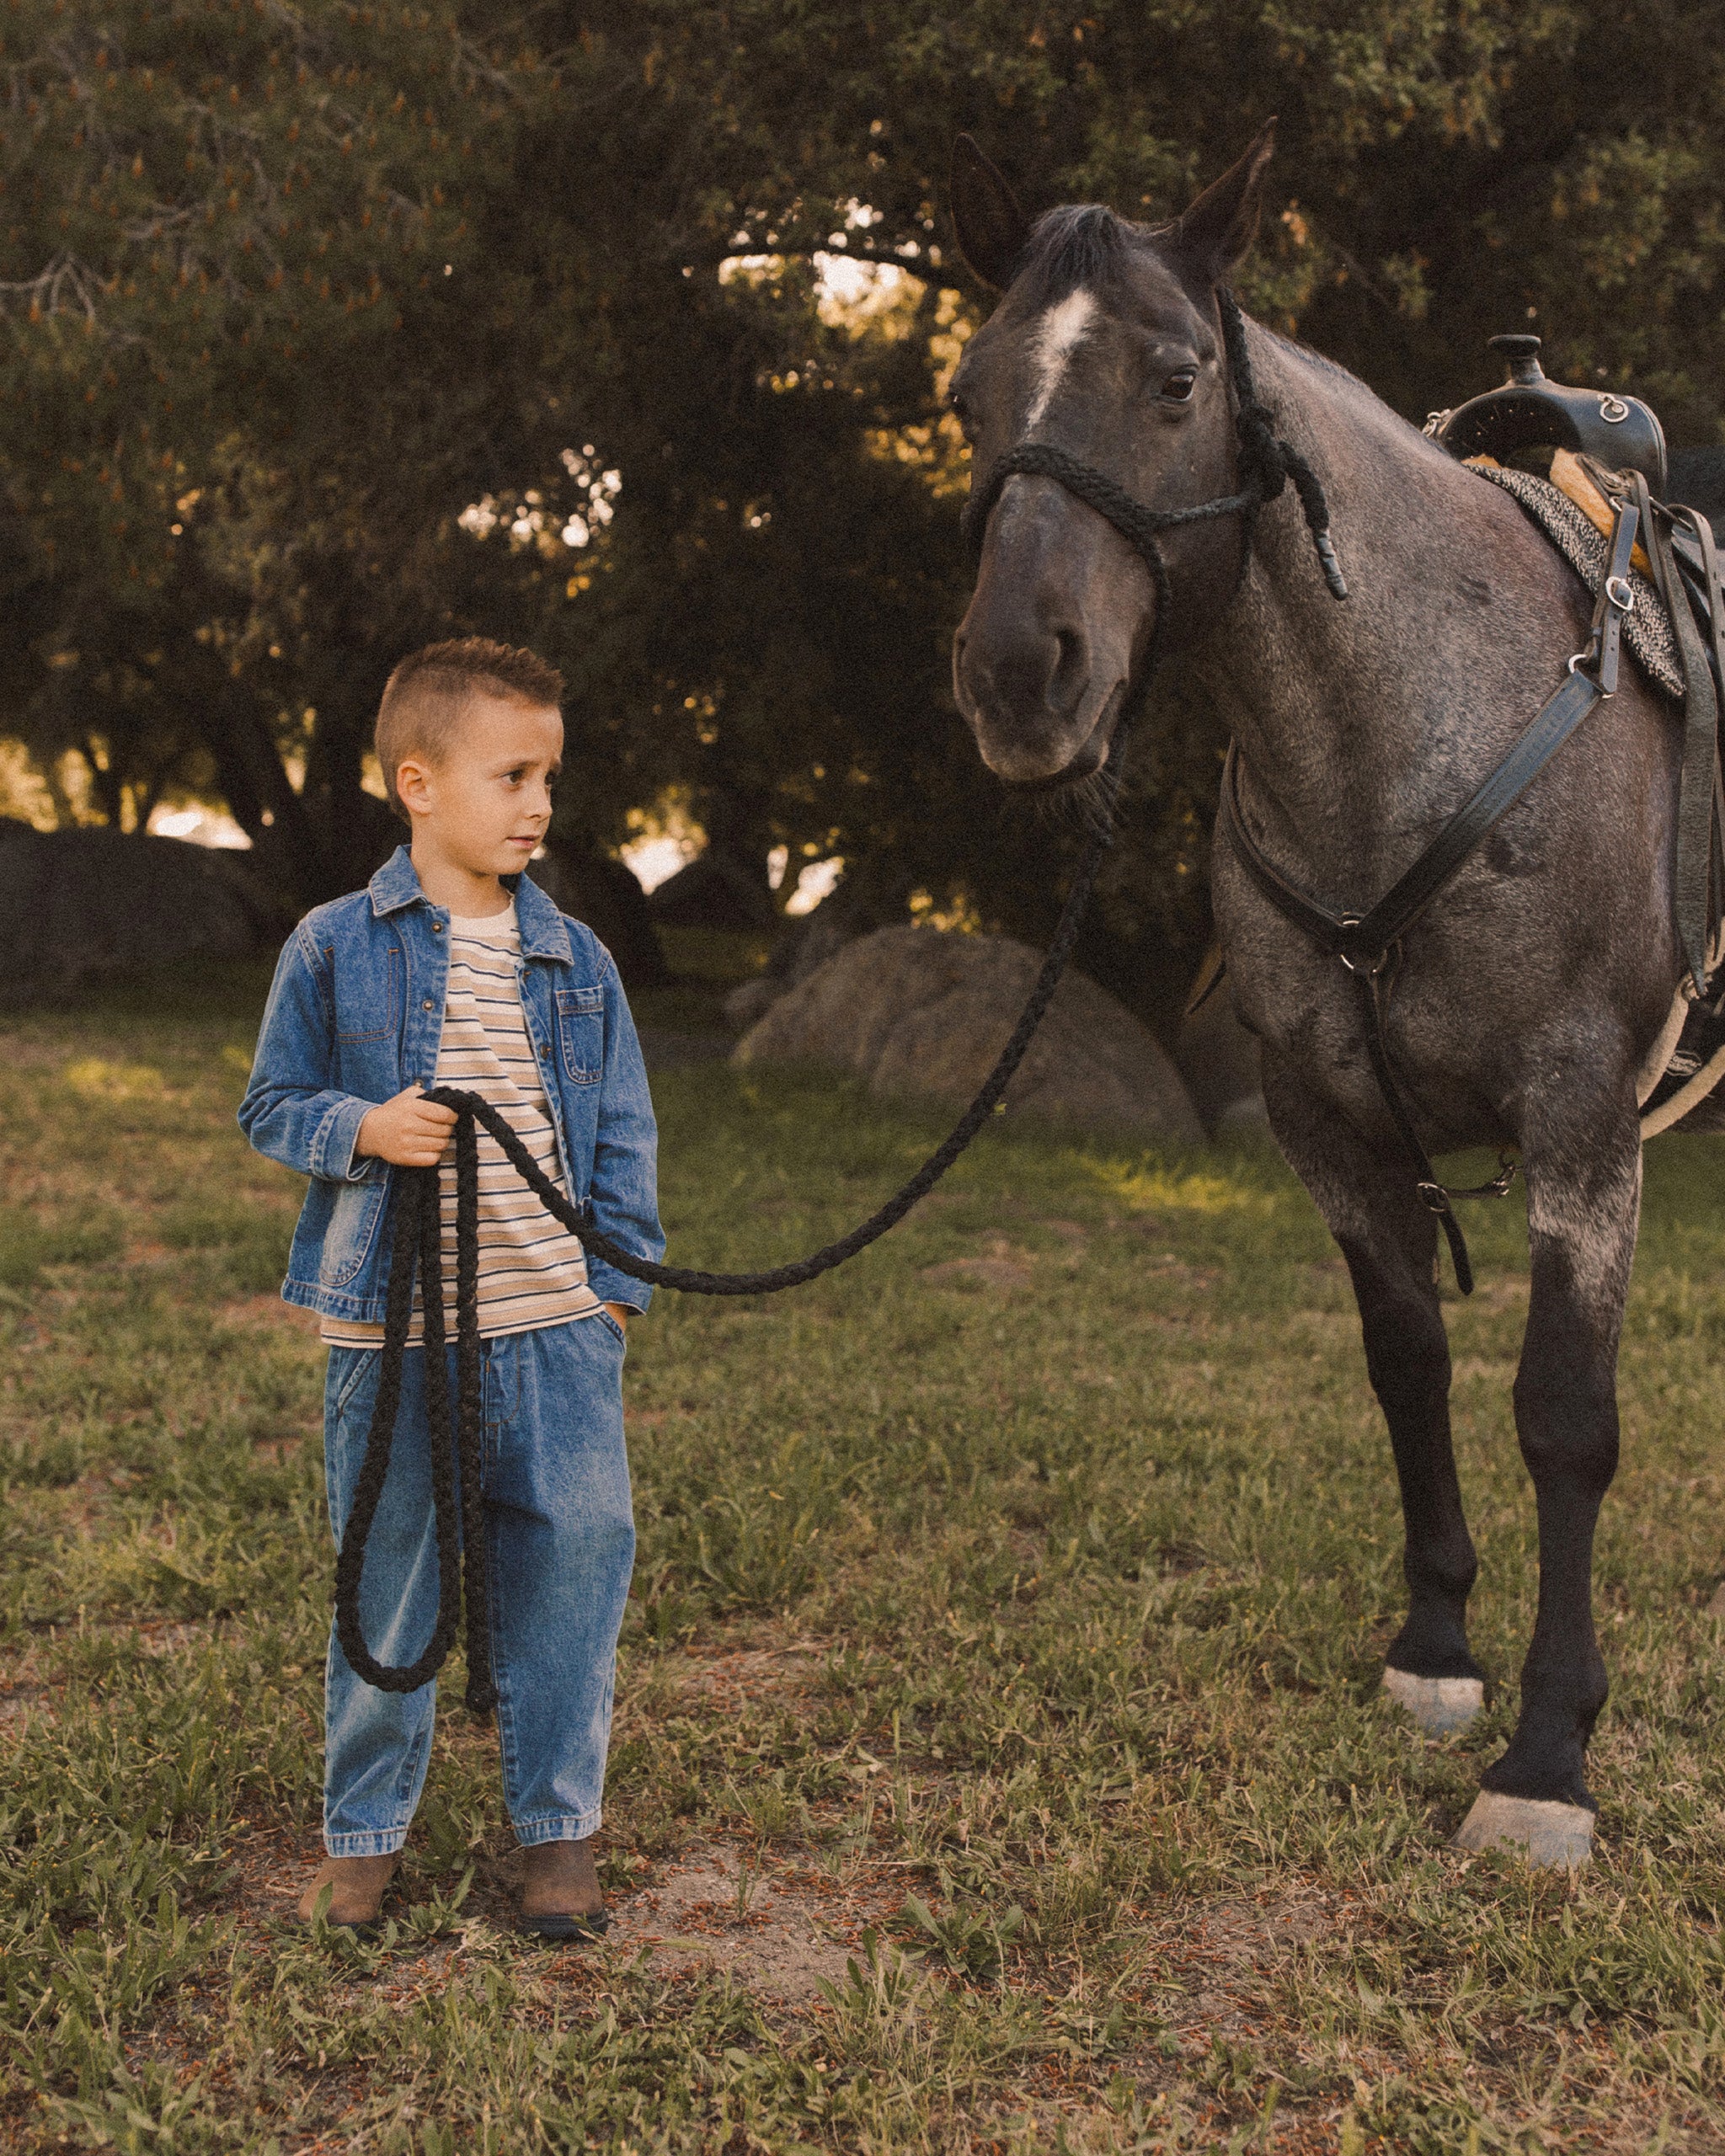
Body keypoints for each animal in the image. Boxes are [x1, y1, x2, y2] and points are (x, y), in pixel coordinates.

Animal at [948, 122, 1707, 1871]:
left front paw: (1546, 1755)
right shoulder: (1326, 1118)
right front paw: (1435, 1650)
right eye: (966, 394)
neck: (1414, 728)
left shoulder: (1582, 1121)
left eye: (1173, 378)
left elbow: (1562, 1417)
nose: (1020, 674)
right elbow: (1405, 1359)